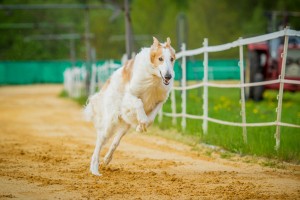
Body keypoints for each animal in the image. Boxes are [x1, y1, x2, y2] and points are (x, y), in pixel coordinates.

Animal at [83, 36, 176, 176]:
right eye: (160, 59)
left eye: (171, 59)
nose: (168, 76)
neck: (154, 78)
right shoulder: (130, 95)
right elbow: (139, 102)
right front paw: (142, 121)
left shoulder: (160, 100)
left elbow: (151, 118)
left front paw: (141, 126)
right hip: (110, 123)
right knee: (99, 143)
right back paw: (95, 169)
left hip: (124, 126)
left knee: (115, 142)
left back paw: (107, 159)